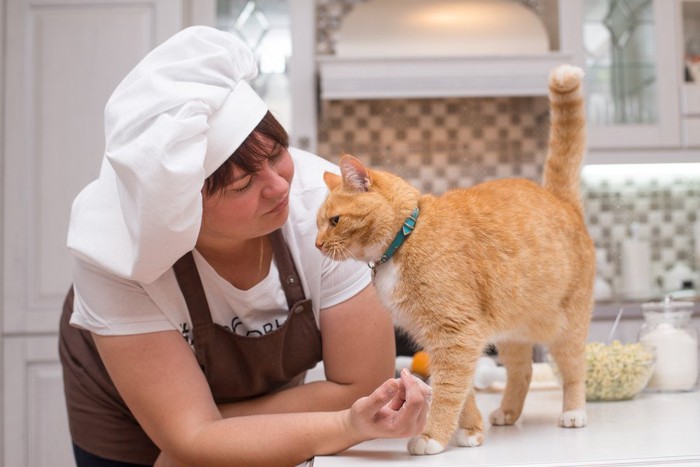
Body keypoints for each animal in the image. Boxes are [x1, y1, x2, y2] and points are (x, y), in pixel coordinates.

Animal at [318, 64, 596, 456]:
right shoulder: (443, 338)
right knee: (522, 371)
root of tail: (558, 199)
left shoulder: (456, 334)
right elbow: (462, 391)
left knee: (573, 368)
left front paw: (432, 435)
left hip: (568, 325)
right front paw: (472, 431)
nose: (316, 244)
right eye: (318, 223)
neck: (407, 236)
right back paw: (507, 412)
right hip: (511, 331)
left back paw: (573, 412)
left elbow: (449, 391)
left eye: (334, 221)